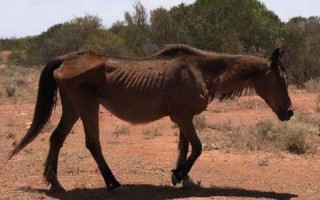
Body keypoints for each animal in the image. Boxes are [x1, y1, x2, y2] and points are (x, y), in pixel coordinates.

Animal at [8, 45, 294, 192]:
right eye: (280, 78)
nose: (289, 111)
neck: (201, 71)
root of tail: (67, 59)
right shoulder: (183, 117)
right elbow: (198, 147)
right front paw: (178, 174)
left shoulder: (182, 118)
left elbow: (184, 147)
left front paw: (182, 178)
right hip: (86, 107)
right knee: (92, 143)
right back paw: (112, 182)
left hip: (72, 108)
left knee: (56, 138)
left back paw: (55, 183)